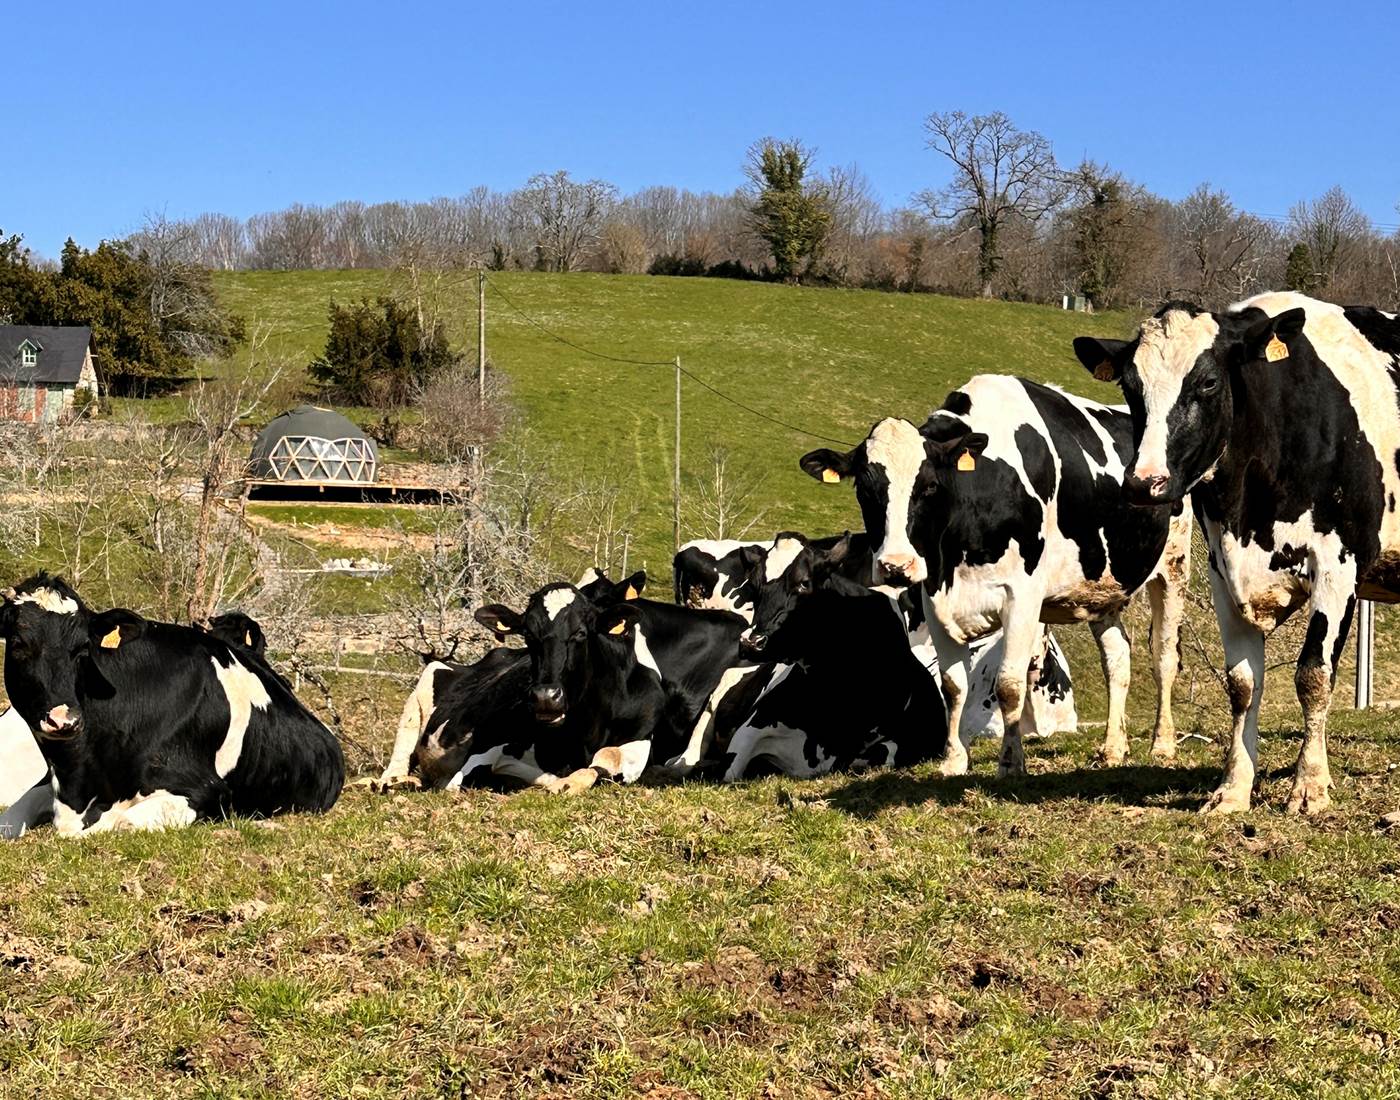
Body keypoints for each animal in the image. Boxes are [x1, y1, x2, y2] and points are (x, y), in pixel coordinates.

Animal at [0, 574, 344, 835]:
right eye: (16, 644)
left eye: (84, 647)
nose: (63, 720)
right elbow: (8, 821)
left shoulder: (206, 790)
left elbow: (118, 823)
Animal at [800, 380, 1191, 779]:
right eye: (864, 490)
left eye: (929, 487)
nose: (896, 565)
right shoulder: (933, 596)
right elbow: (953, 685)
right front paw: (953, 761)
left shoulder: (1022, 597)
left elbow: (1009, 684)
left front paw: (1011, 762)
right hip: (1101, 588)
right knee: (1117, 658)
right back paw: (1112, 748)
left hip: (1174, 567)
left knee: (1163, 656)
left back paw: (1162, 744)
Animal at [1074, 291, 1398, 814]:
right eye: (1131, 385)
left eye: (1208, 382)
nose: (1145, 483)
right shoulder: (1223, 571)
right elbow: (1243, 683)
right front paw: (1233, 788)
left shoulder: (1339, 563)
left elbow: (1314, 676)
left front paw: (1310, 785)